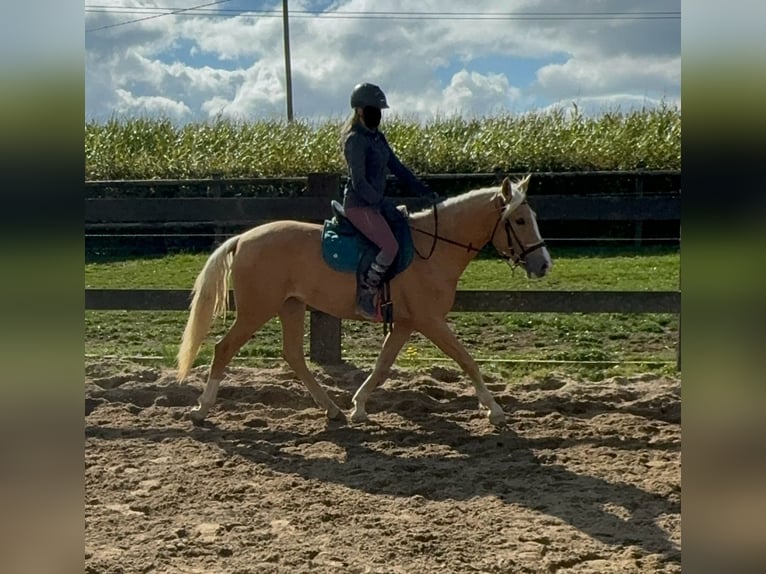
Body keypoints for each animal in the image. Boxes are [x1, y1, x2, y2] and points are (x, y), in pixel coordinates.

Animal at [177, 176, 552, 428]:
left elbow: (382, 365)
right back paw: (202, 409)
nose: (544, 264)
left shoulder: (406, 323)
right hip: (257, 310)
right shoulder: (430, 321)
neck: (433, 249)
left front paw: (358, 406)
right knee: (224, 349)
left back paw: (333, 409)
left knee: (294, 356)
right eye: (519, 220)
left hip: (291, 306)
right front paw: (495, 410)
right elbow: (467, 360)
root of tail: (242, 238)